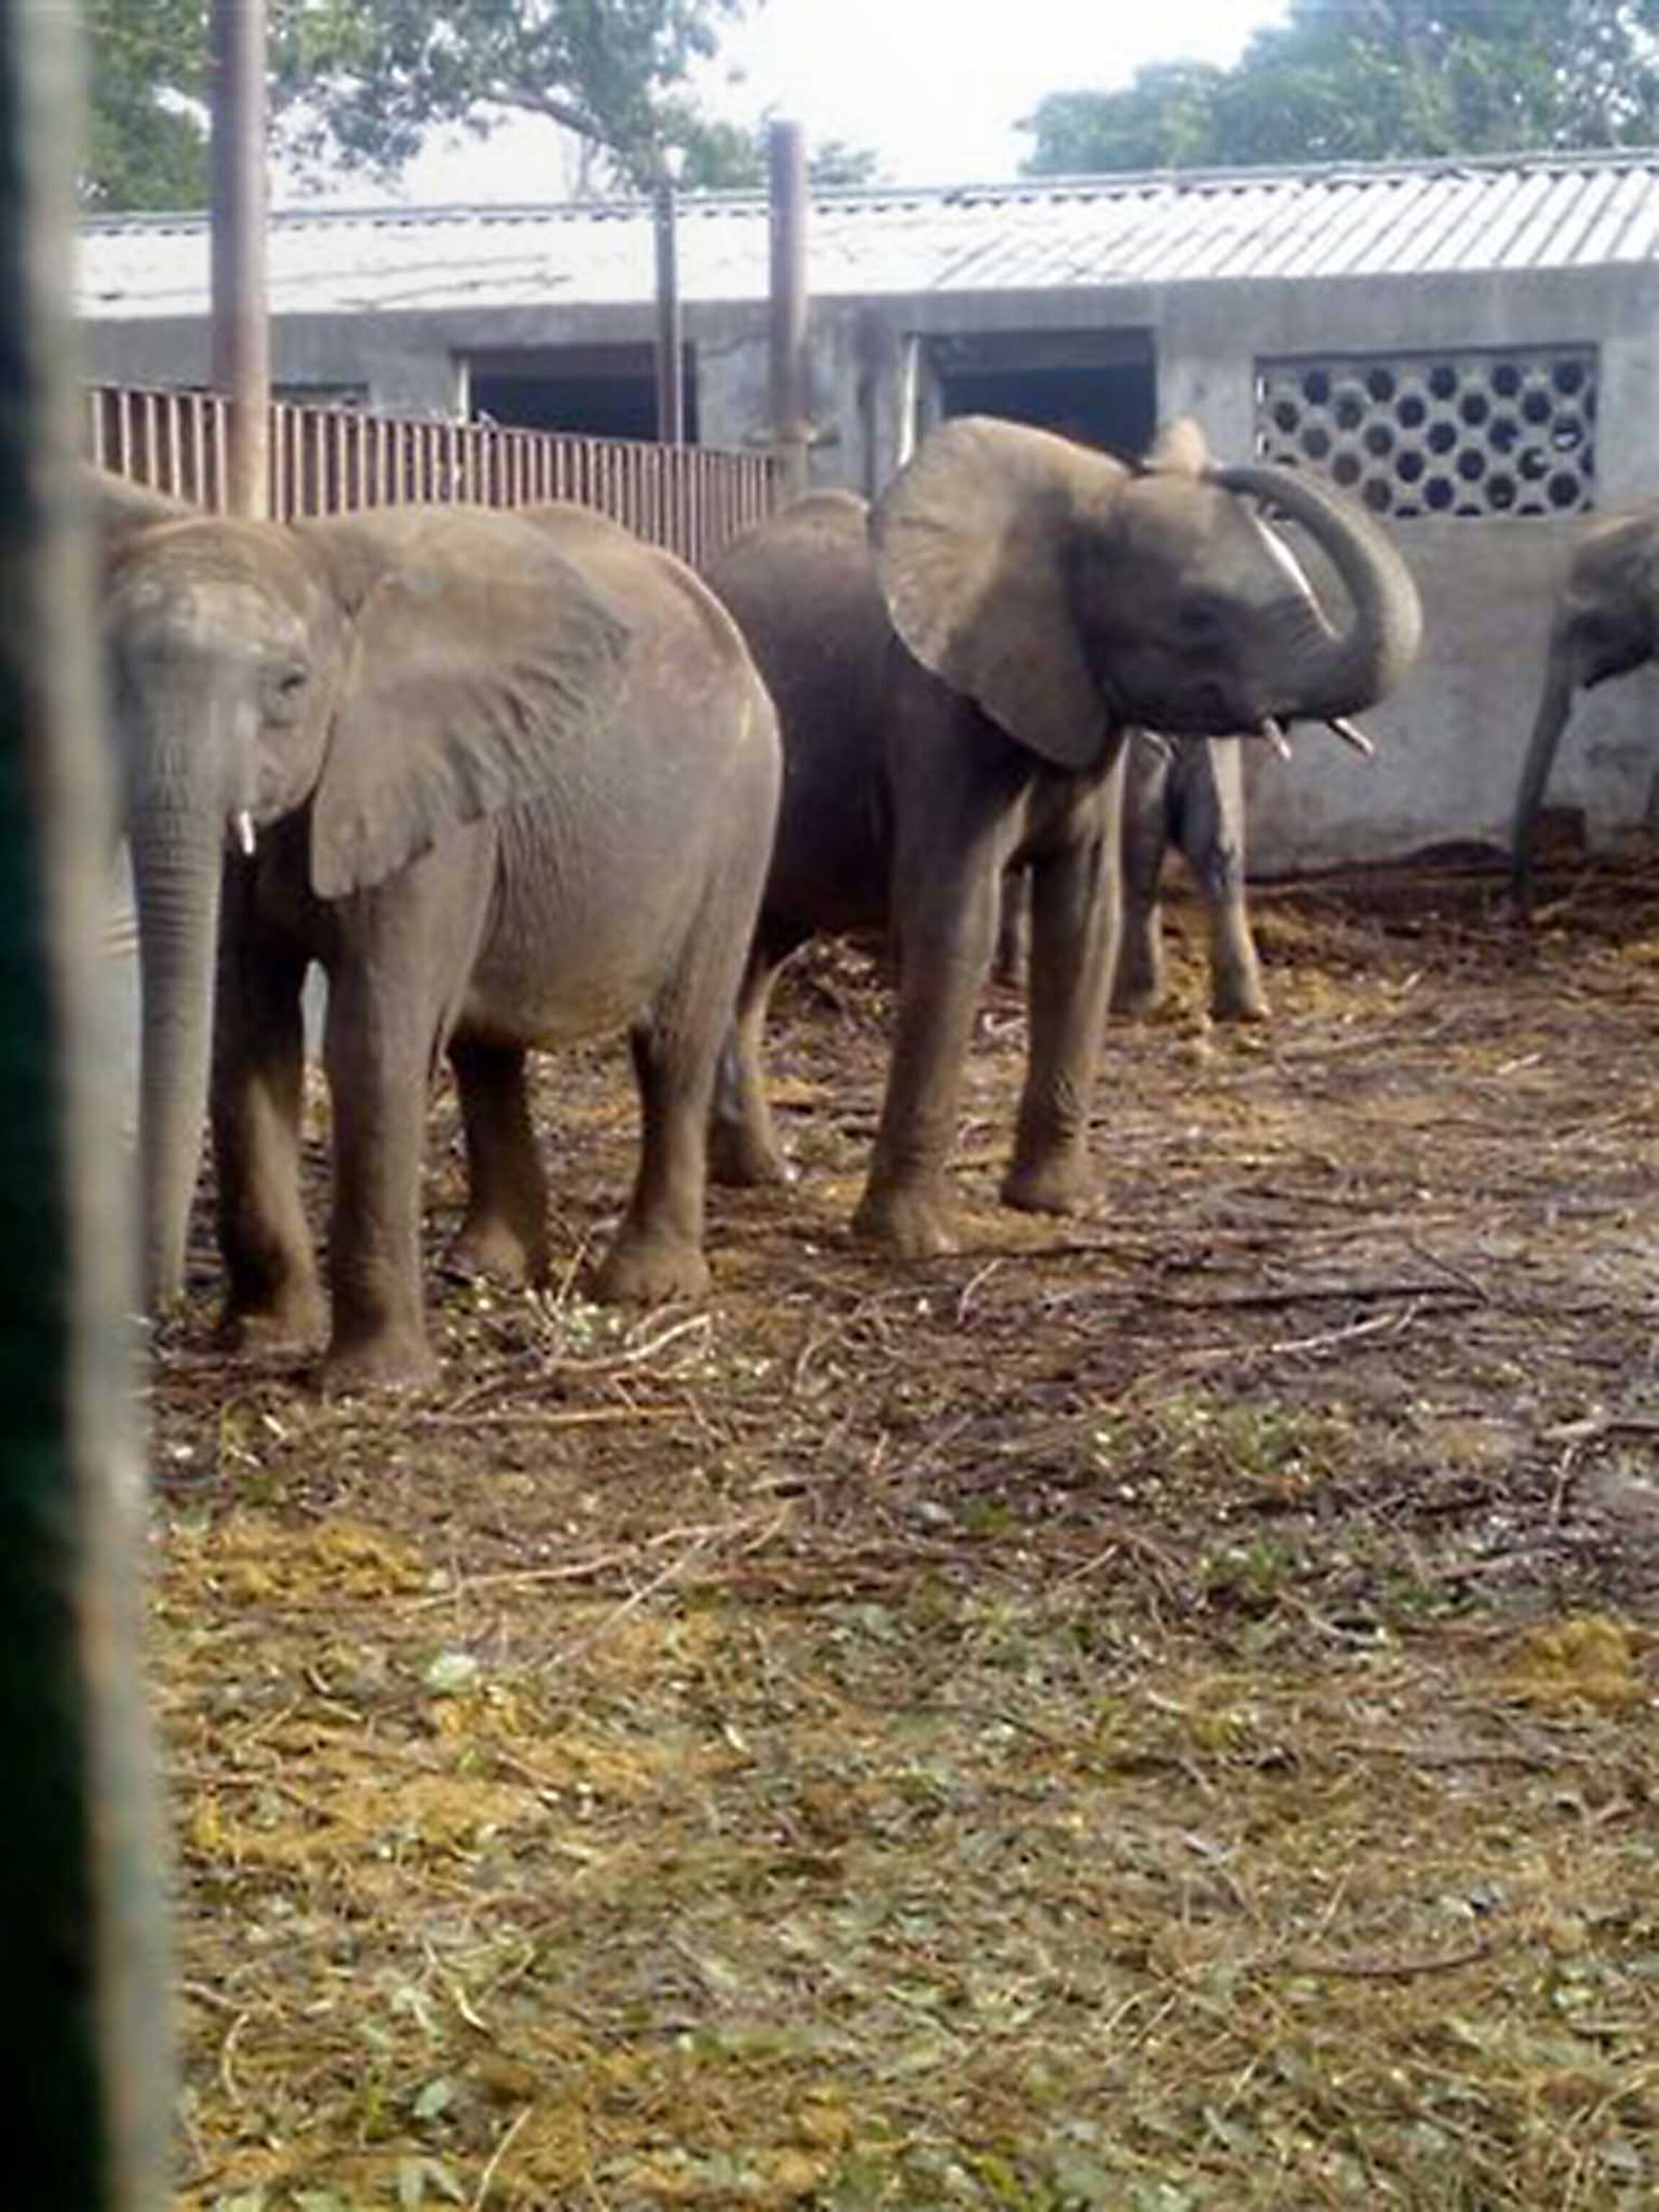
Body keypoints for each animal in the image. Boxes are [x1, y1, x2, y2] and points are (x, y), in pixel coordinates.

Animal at [103, 495, 781, 1387]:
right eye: (106, 685)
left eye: (291, 684)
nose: (160, 1307)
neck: (317, 557)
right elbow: (251, 1033)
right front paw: (264, 1340)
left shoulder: (427, 805)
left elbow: (372, 1041)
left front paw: (373, 1385)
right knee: (484, 1045)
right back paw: (485, 1270)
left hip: (740, 819)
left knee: (673, 1043)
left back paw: (645, 1288)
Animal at [994, 729, 1268, 1021]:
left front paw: (1016, 976)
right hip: (1215, 758)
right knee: (1219, 851)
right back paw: (1248, 1011)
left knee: (1138, 861)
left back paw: (1128, 1005)